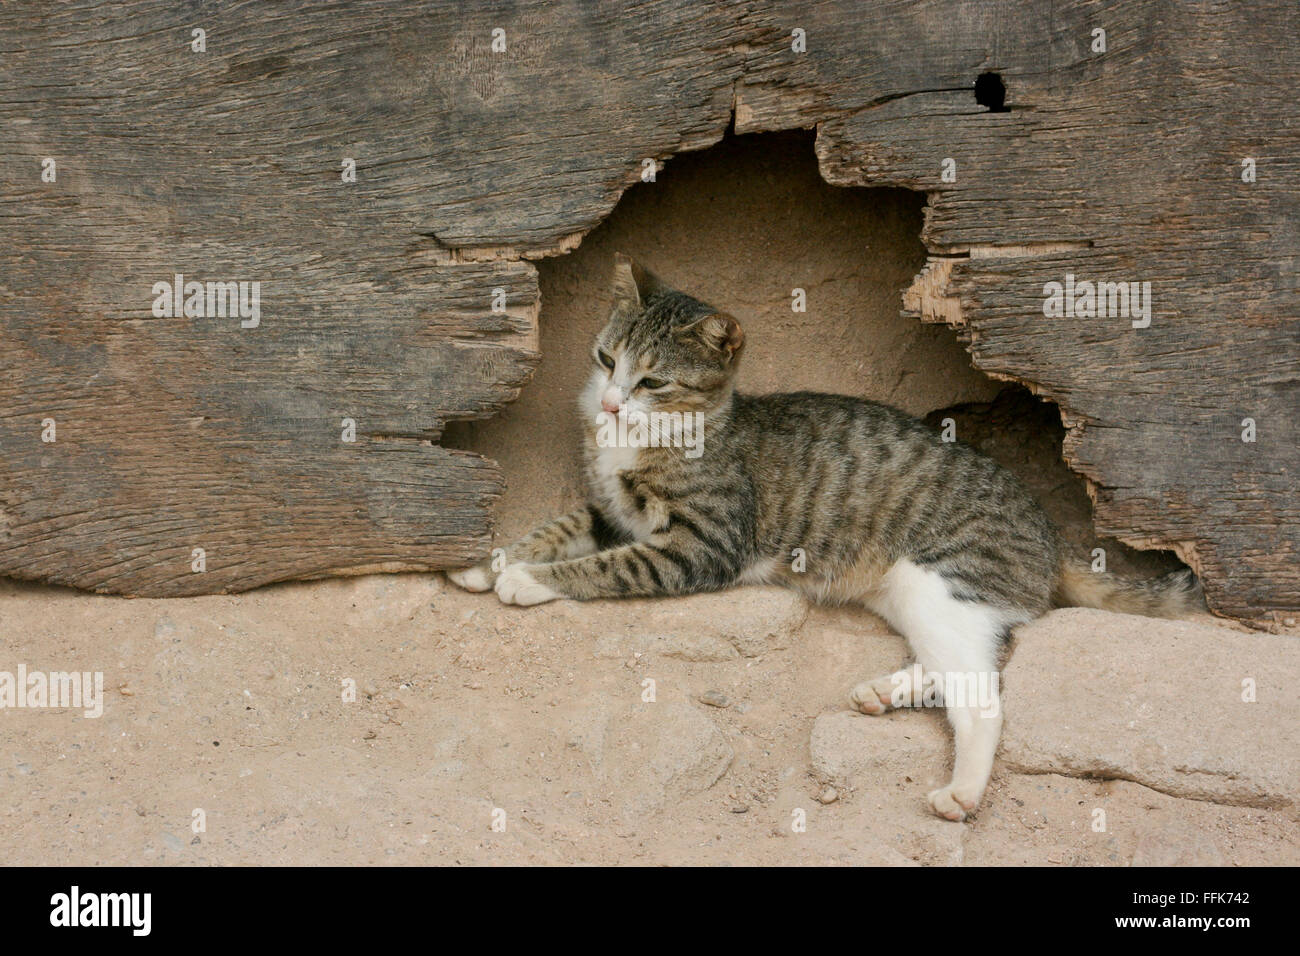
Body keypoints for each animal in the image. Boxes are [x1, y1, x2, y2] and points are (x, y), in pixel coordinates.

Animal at [447, 254, 1196, 822]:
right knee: (978, 660)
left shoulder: (698, 547)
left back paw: (960, 791)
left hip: (942, 582)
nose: (608, 403)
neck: (639, 439)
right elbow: (563, 526)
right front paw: (487, 560)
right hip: (915, 596)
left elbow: (607, 566)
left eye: (652, 381)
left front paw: (524, 581)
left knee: (985, 698)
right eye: (605, 359)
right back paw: (888, 691)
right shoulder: (615, 513)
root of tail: (1047, 531)